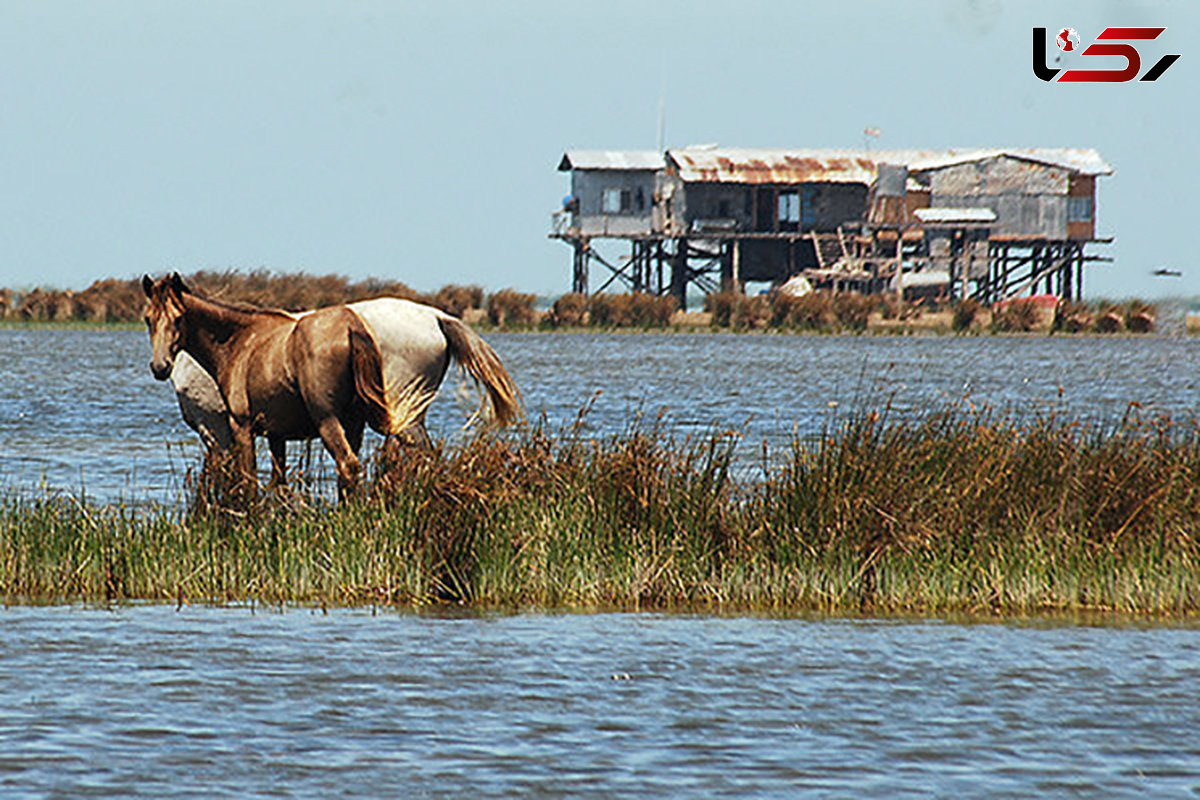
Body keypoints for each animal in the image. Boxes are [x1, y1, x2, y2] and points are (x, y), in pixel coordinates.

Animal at [139, 277, 520, 501]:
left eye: (177, 319)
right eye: (147, 318)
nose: (159, 367)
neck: (241, 341)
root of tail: (438, 317)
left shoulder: (226, 428)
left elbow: (239, 482)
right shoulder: (274, 433)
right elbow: (277, 483)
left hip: (381, 419)